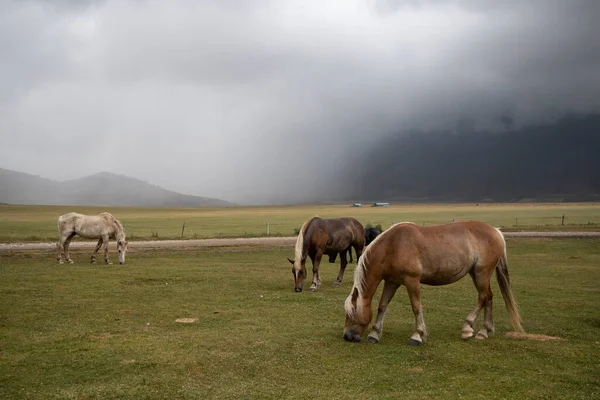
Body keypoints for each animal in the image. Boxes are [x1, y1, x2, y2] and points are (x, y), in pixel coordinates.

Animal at [344, 220, 524, 346]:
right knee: (488, 297)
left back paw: (469, 328)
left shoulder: (412, 281)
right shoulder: (391, 282)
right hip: (477, 274)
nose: (347, 336)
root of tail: (496, 231)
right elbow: (382, 306)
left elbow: (416, 307)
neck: (393, 245)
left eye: (351, 314)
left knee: (483, 297)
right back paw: (484, 330)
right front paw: (374, 334)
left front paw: (417, 335)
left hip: (482, 273)